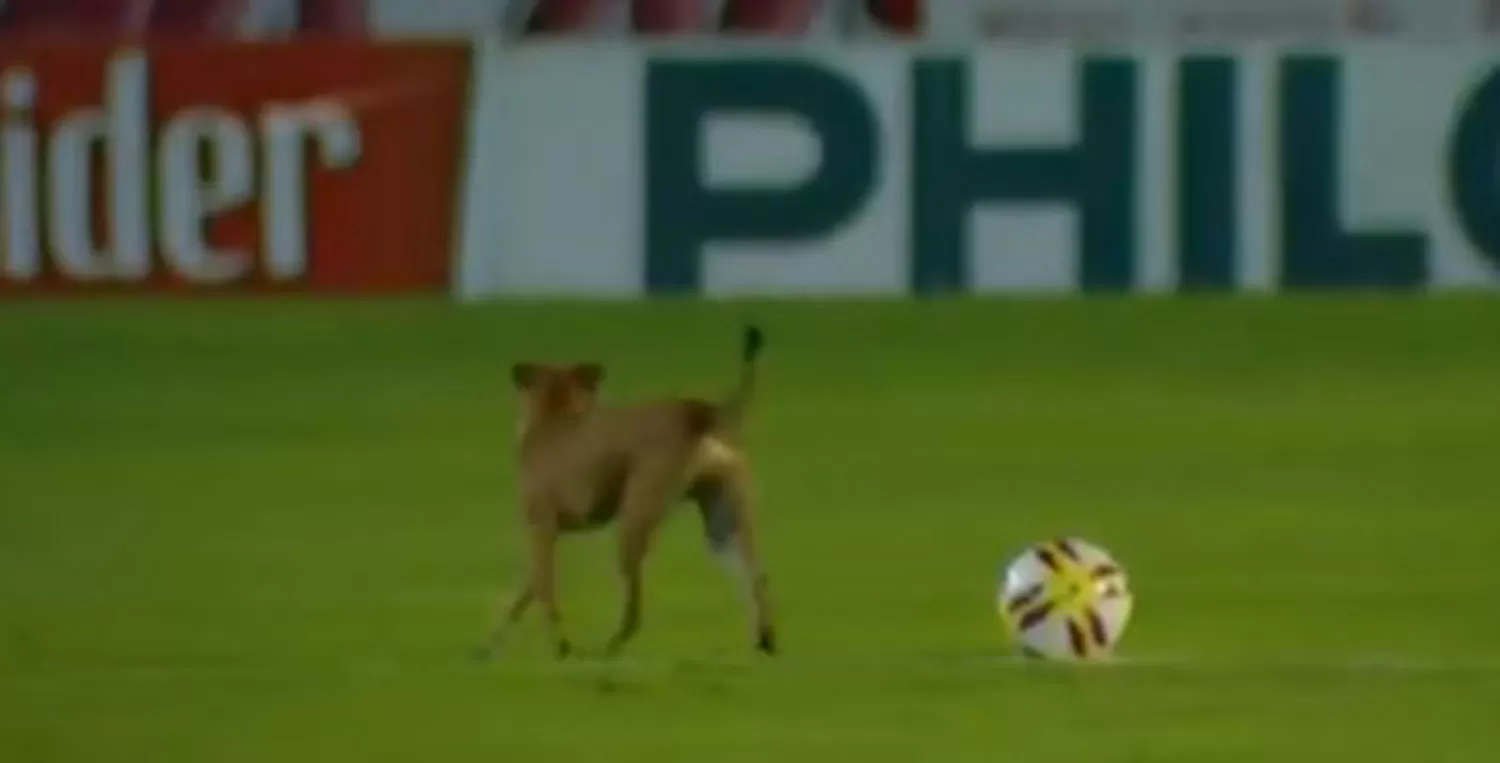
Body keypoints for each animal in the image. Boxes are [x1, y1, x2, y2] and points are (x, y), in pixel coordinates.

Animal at [477, 323, 786, 656]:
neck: (556, 414)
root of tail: (692, 410)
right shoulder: (547, 533)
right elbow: (524, 592)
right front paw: (488, 647)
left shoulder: (541, 528)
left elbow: (544, 590)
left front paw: (560, 645)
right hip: (724, 528)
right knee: (757, 579)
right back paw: (765, 641)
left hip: (633, 523)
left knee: (634, 612)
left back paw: (606, 649)